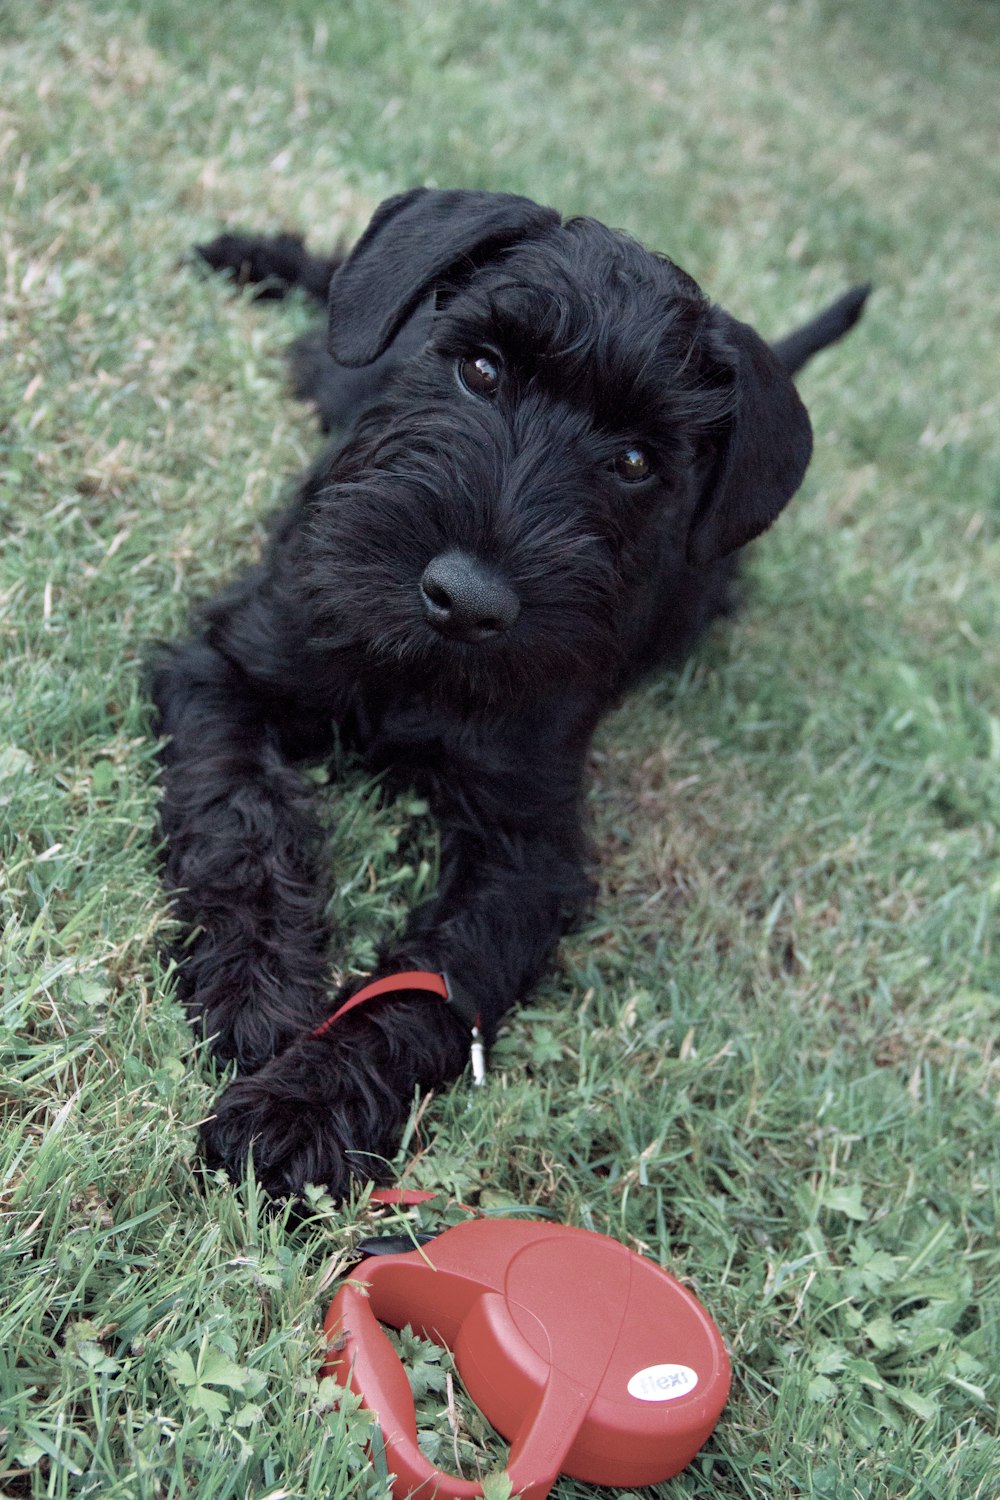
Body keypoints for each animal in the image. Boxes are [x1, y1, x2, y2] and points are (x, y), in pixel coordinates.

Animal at [154, 187, 869, 1194]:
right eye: (482, 368)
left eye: (637, 461)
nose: (466, 600)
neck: (416, 673)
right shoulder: (228, 671)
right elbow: (240, 825)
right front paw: (256, 991)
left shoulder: (528, 852)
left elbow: (439, 979)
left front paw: (305, 1107)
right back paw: (248, 254)